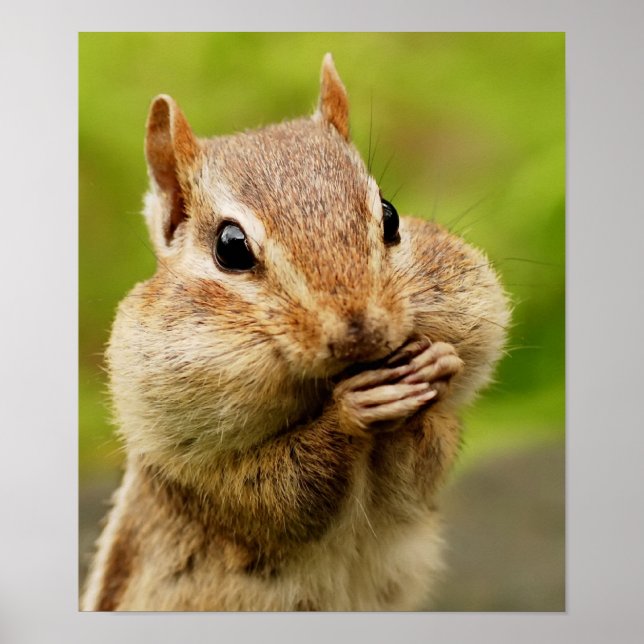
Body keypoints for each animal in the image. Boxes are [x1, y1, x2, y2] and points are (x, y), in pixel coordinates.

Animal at [81, 53, 510, 611]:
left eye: (390, 215)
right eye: (231, 247)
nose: (362, 334)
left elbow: (424, 471)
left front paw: (434, 367)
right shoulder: (201, 473)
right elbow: (280, 495)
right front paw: (351, 411)